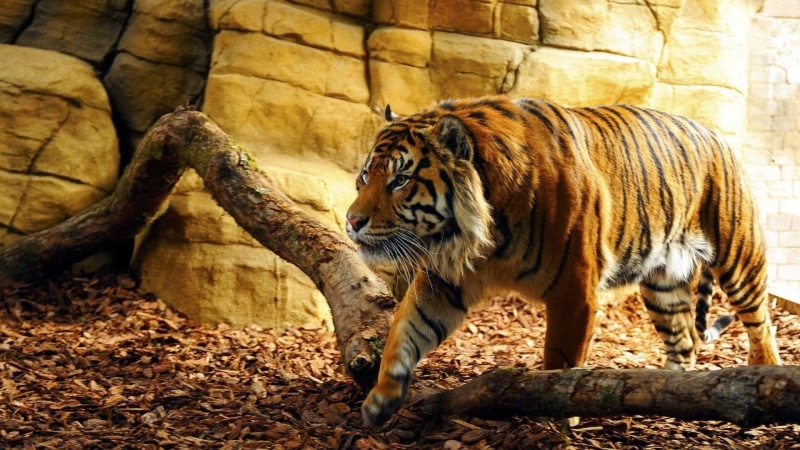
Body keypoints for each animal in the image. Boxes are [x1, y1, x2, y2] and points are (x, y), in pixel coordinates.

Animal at [344, 95, 782, 427]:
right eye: (365, 176)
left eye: (400, 180)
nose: (351, 221)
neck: (479, 233)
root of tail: (717, 135)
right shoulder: (443, 280)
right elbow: (405, 330)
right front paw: (380, 399)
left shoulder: (574, 290)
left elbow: (558, 361)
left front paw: (554, 417)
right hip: (663, 283)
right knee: (685, 341)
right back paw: (667, 392)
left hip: (739, 257)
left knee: (761, 324)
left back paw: (763, 374)